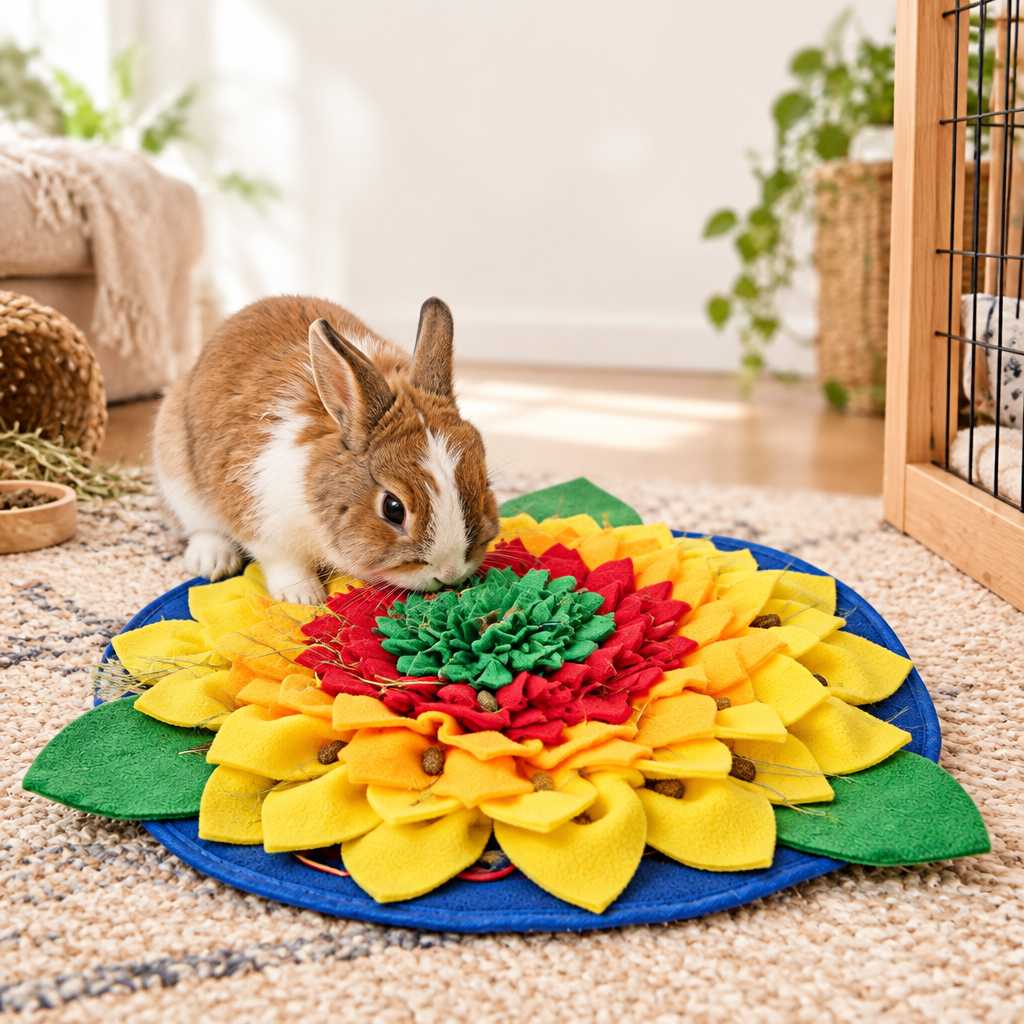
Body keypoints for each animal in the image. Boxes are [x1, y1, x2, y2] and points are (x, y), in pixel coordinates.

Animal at [153, 295, 500, 604]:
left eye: (484, 482)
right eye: (393, 509)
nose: (450, 571)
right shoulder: (259, 516)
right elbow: (283, 562)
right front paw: (304, 597)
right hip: (175, 471)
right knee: (198, 525)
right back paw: (213, 562)